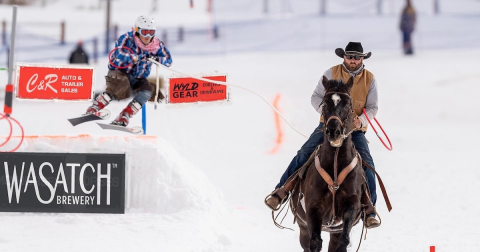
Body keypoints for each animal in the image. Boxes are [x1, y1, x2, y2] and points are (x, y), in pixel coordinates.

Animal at [290, 77, 366, 252]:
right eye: (324, 103)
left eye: (348, 104)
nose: (333, 131)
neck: (335, 165)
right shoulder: (312, 208)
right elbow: (315, 242)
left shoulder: (351, 205)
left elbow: (344, 240)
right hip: (303, 227)